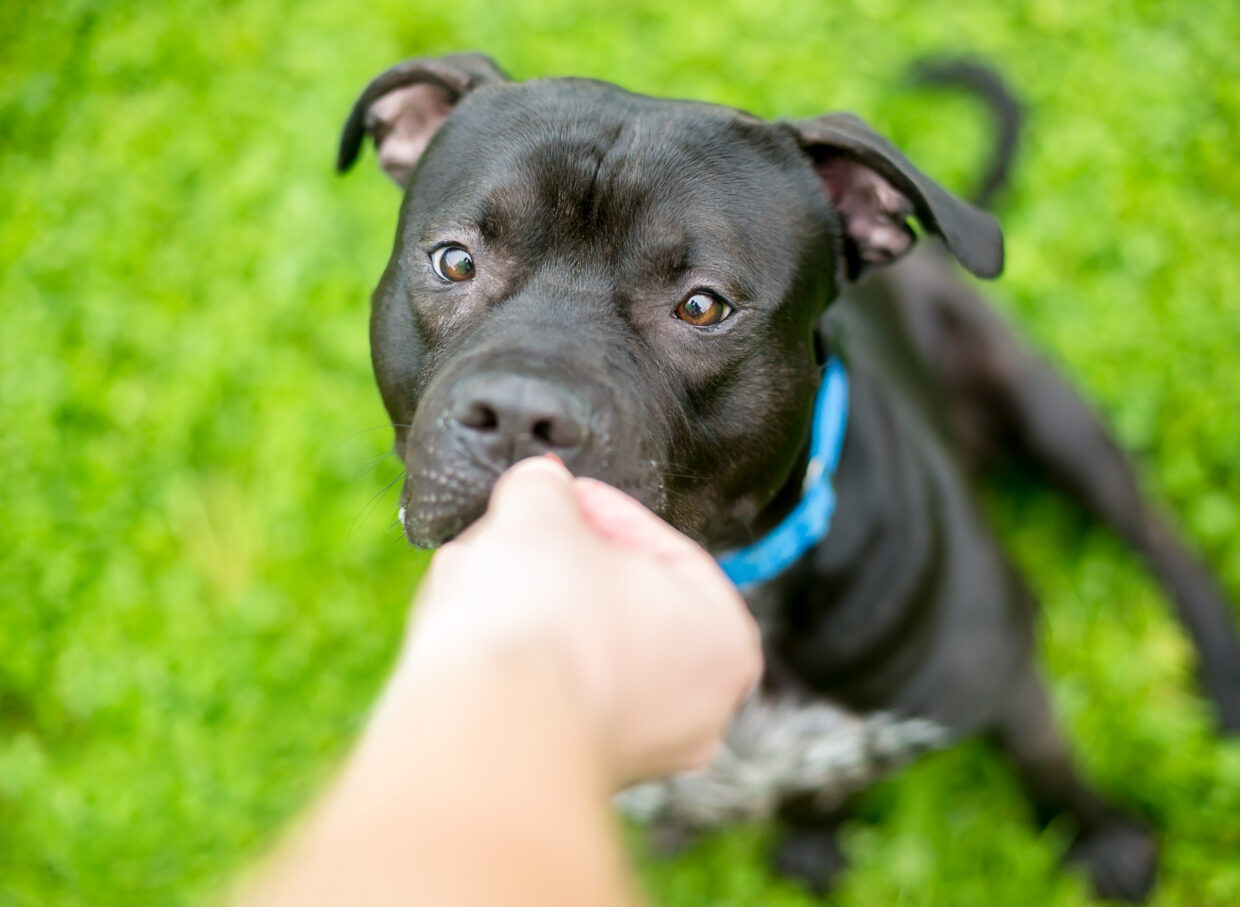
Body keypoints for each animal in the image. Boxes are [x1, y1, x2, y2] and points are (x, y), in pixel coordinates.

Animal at [339, 54, 1240, 903]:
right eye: (456, 260)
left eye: (702, 306)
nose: (521, 413)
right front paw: (807, 829)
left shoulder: (1000, 664)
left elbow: (1045, 759)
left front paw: (1102, 839)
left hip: (1046, 407)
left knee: (1151, 528)